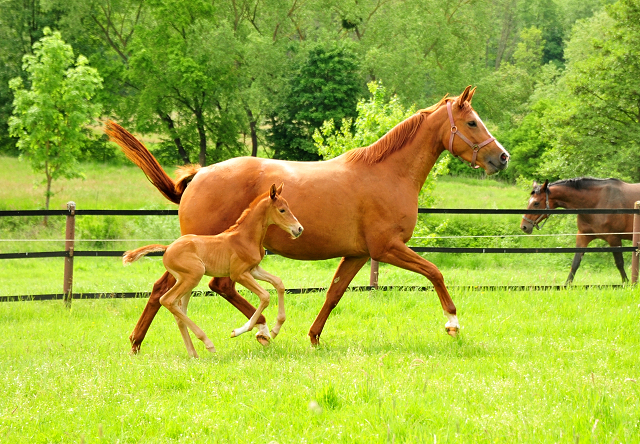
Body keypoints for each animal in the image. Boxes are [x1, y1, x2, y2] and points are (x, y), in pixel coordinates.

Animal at [126, 184, 306, 358]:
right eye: (282, 210)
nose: (299, 229)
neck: (244, 237)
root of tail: (168, 248)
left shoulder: (254, 269)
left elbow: (279, 283)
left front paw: (275, 329)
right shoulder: (239, 274)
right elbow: (265, 296)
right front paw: (238, 331)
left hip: (185, 282)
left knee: (179, 312)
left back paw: (193, 353)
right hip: (193, 276)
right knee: (167, 300)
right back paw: (208, 343)